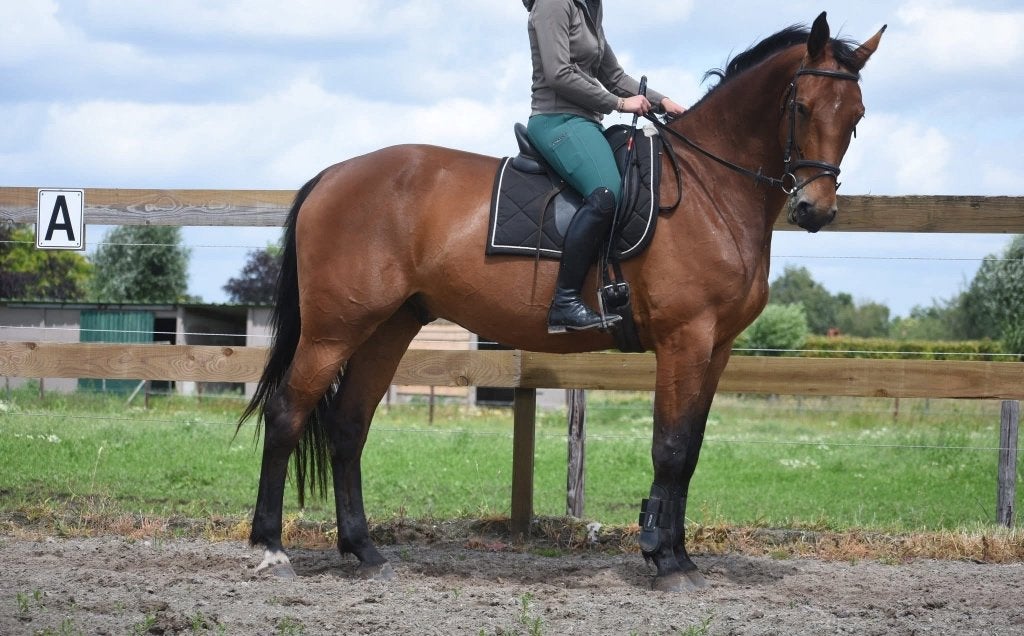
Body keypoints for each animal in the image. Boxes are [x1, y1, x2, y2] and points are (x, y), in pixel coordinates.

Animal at [239, 12, 885, 592]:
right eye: (801, 108)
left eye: (855, 117)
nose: (815, 211)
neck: (709, 190)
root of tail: (334, 175)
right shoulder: (685, 340)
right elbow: (671, 447)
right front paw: (664, 561)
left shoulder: (717, 347)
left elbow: (691, 452)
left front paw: (679, 555)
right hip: (334, 329)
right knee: (287, 414)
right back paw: (271, 550)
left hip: (389, 327)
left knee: (349, 426)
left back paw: (365, 551)